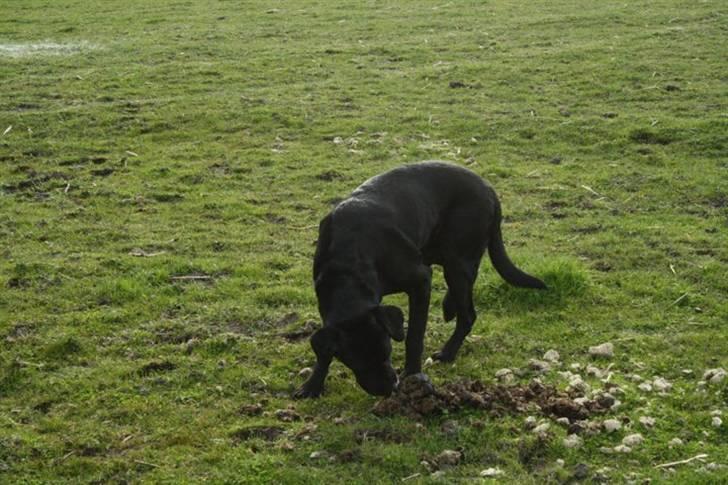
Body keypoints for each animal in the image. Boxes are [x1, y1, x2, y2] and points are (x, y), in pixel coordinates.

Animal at [296, 163, 544, 398]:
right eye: (356, 362)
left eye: (386, 352)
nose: (389, 389)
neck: (348, 265)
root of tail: (489, 188)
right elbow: (324, 351)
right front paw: (313, 384)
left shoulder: (420, 281)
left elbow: (414, 335)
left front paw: (412, 373)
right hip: (440, 252)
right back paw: (449, 305)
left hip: (457, 258)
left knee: (467, 313)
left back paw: (448, 351)